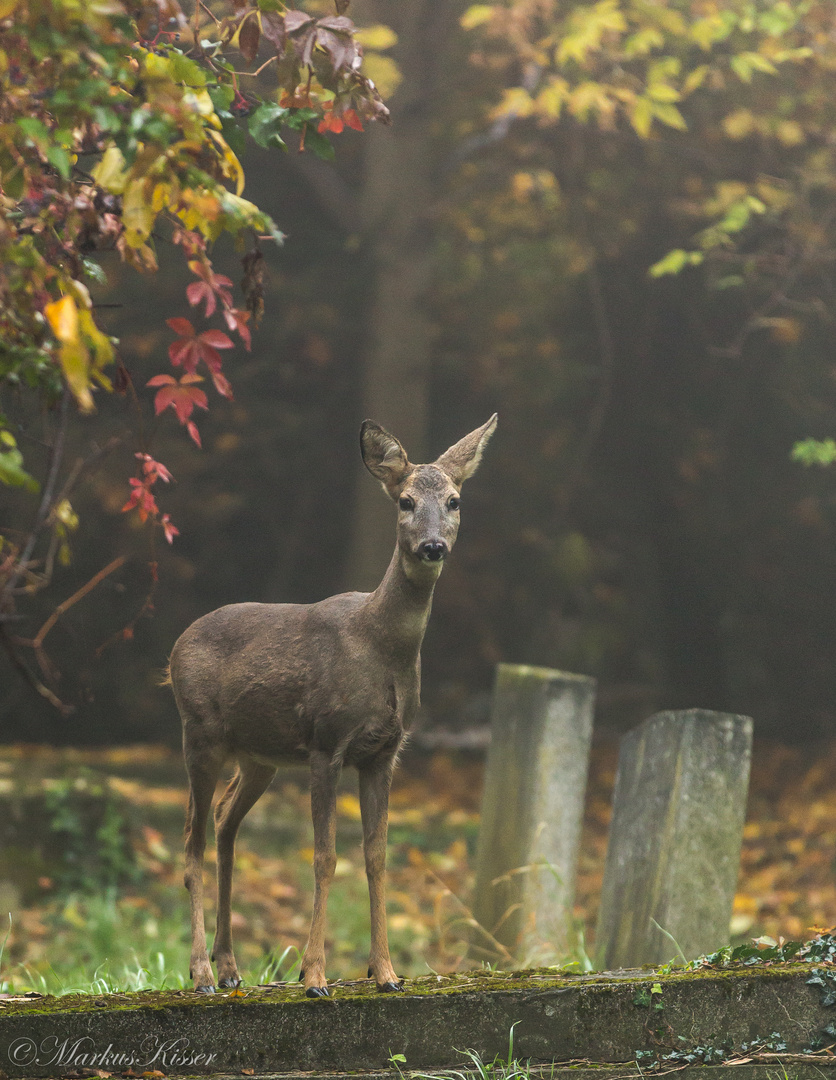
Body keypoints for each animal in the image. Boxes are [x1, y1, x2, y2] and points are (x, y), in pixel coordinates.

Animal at [170, 412, 496, 993]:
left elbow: (377, 856)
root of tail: (173, 648)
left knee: (226, 822)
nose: (433, 546)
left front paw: (386, 973)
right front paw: (314, 973)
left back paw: (230, 967)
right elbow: (325, 857)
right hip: (199, 733)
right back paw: (202, 972)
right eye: (405, 501)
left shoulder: (384, 752)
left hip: (258, 757)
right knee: (192, 844)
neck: (379, 644)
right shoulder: (326, 743)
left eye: (455, 500)